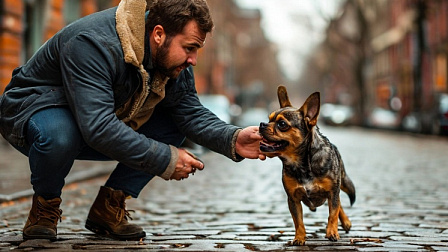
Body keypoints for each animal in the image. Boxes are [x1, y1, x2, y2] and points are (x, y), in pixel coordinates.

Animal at [258, 85, 356, 245]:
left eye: (282, 124)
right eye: (269, 118)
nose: (262, 124)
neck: (301, 164)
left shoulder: (333, 192)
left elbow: (333, 214)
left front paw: (332, 232)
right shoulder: (293, 200)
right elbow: (298, 221)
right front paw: (299, 238)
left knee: (338, 205)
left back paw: (345, 222)